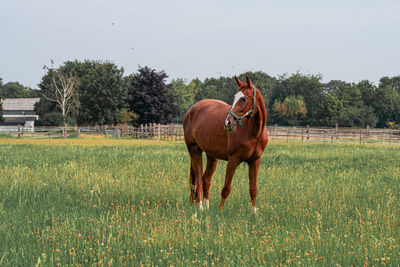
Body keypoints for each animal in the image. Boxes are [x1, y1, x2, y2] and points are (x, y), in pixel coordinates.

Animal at [183, 75, 268, 214]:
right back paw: (200, 207)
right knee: (199, 180)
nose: (228, 122)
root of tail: (191, 110)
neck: (254, 133)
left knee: (206, 179)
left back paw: (207, 206)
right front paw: (221, 211)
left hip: (212, 156)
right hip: (195, 151)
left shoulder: (255, 161)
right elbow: (226, 188)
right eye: (234, 97)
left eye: (243, 99)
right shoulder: (233, 160)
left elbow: (253, 189)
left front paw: (254, 212)